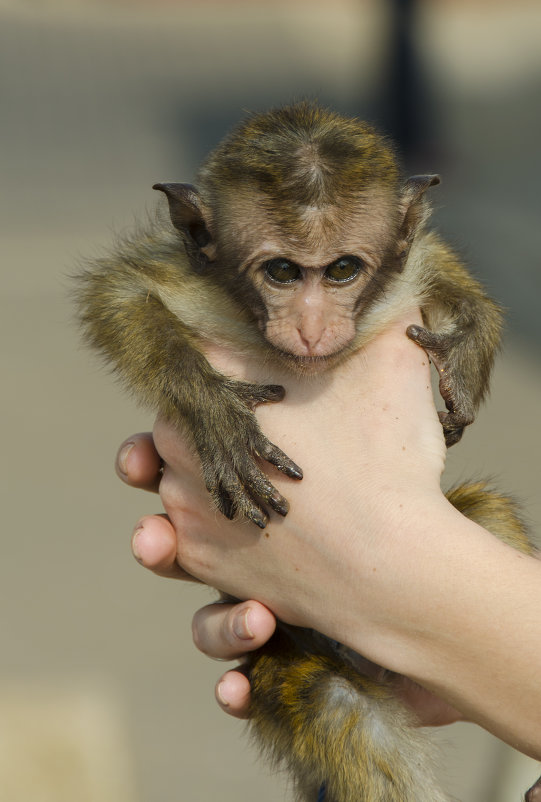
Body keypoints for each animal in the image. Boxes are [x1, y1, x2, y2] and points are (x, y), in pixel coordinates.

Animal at [75, 103, 536, 796]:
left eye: (342, 270)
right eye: (283, 272)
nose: (314, 327)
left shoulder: (404, 270)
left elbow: (435, 261)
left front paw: (469, 344)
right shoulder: (192, 278)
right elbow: (119, 294)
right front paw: (212, 410)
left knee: (485, 512)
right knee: (331, 702)